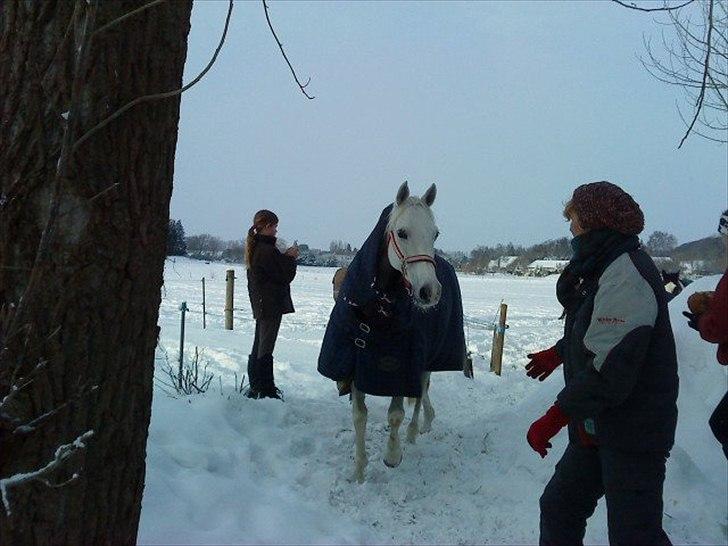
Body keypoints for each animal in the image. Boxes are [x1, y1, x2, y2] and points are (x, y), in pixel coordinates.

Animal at [350, 183, 440, 480]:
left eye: (435, 234)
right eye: (402, 232)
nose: (430, 291)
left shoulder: (403, 365)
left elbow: (396, 414)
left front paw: (392, 455)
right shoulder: (357, 365)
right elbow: (359, 415)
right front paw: (359, 470)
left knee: (421, 392)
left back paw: (413, 432)